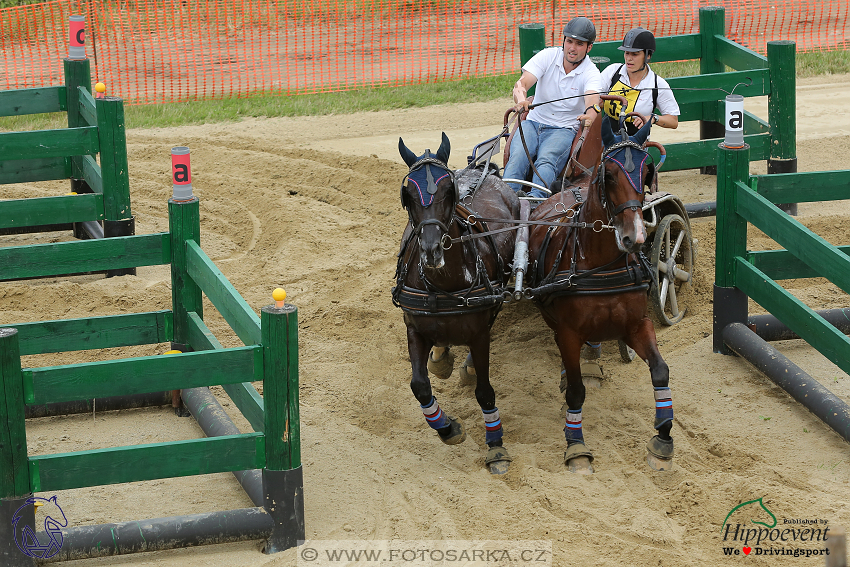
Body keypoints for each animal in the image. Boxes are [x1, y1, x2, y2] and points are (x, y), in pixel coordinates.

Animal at [390, 133, 516, 474]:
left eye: (450, 191)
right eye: (408, 195)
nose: (432, 250)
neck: (444, 283)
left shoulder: (479, 334)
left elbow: (485, 392)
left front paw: (496, 446)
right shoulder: (414, 328)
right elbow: (419, 385)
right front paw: (447, 428)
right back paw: (441, 356)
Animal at [524, 116, 668, 474]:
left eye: (646, 172)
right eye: (610, 175)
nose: (636, 237)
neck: (599, 266)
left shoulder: (637, 325)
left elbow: (660, 370)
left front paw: (663, 440)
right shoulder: (568, 332)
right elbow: (576, 392)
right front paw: (576, 447)